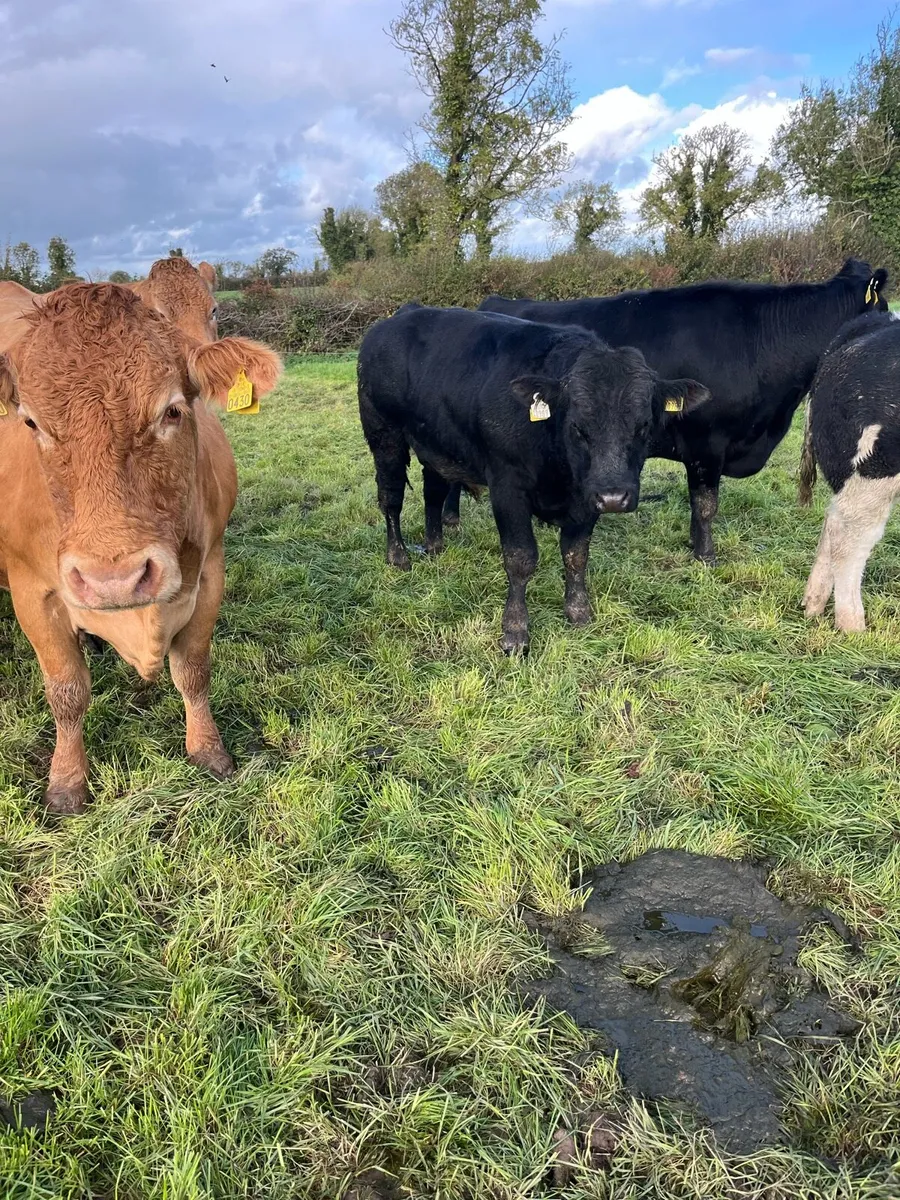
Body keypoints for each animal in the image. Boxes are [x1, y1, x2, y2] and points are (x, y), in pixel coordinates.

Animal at [0, 283, 282, 814]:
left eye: (171, 411)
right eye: (31, 424)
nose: (114, 579)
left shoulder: (209, 572)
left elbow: (193, 670)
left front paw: (208, 750)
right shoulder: (32, 591)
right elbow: (67, 690)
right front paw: (66, 782)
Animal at [358, 304, 709, 654]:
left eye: (644, 426)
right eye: (577, 427)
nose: (613, 497)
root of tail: (402, 314)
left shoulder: (585, 497)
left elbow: (576, 555)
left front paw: (579, 613)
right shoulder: (507, 487)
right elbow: (520, 558)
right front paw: (515, 632)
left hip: (435, 443)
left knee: (434, 490)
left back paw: (435, 545)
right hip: (384, 434)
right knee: (391, 498)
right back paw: (398, 556)